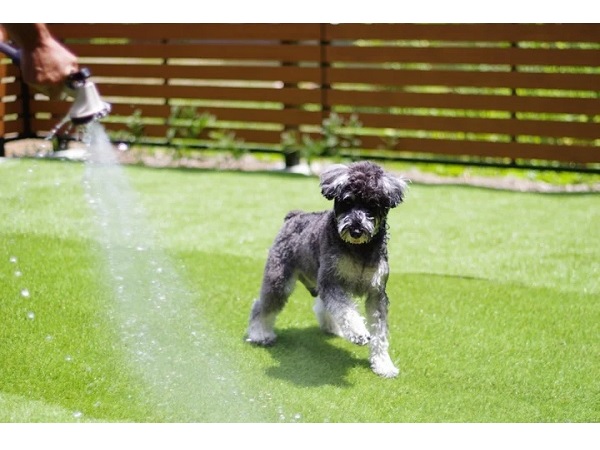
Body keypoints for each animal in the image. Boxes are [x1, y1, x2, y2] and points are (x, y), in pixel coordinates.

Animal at [244, 160, 408, 378]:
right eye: (347, 201)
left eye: (373, 205)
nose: (356, 230)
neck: (359, 249)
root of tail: (293, 216)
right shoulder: (331, 282)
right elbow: (346, 310)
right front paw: (358, 332)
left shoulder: (376, 293)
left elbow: (379, 332)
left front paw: (383, 365)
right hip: (278, 280)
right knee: (262, 306)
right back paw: (260, 334)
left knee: (322, 305)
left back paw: (332, 327)